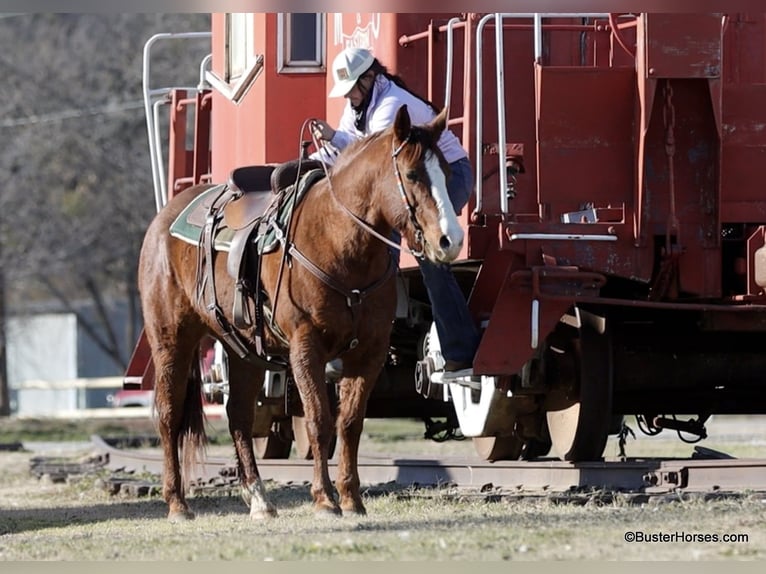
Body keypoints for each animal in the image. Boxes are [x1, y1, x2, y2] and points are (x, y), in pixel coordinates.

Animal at [138, 103, 464, 520]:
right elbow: (319, 420)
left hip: (243, 351)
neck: (339, 242)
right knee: (169, 415)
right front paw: (325, 498)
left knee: (239, 416)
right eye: (411, 174)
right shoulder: (306, 347)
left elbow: (350, 423)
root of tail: (164, 220)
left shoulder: (369, 353)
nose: (450, 240)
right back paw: (177, 502)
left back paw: (259, 499)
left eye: (448, 173)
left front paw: (351, 498)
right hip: (171, 340)